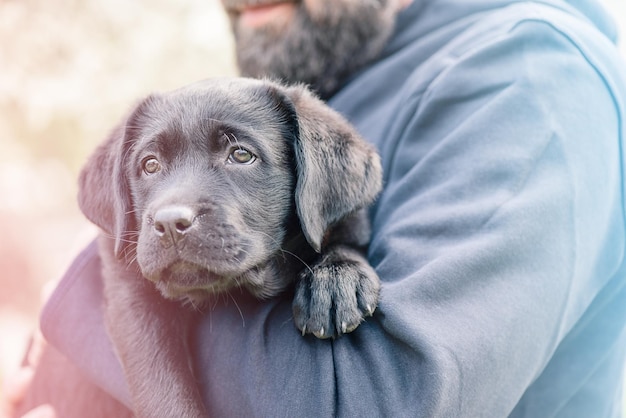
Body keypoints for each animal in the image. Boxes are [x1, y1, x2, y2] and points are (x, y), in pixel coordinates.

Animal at [78, 77, 382, 414]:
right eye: (150, 164)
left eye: (241, 155)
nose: (169, 223)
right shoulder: (128, 290)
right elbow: (161, 380)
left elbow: (344, 235)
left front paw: (335, 280)